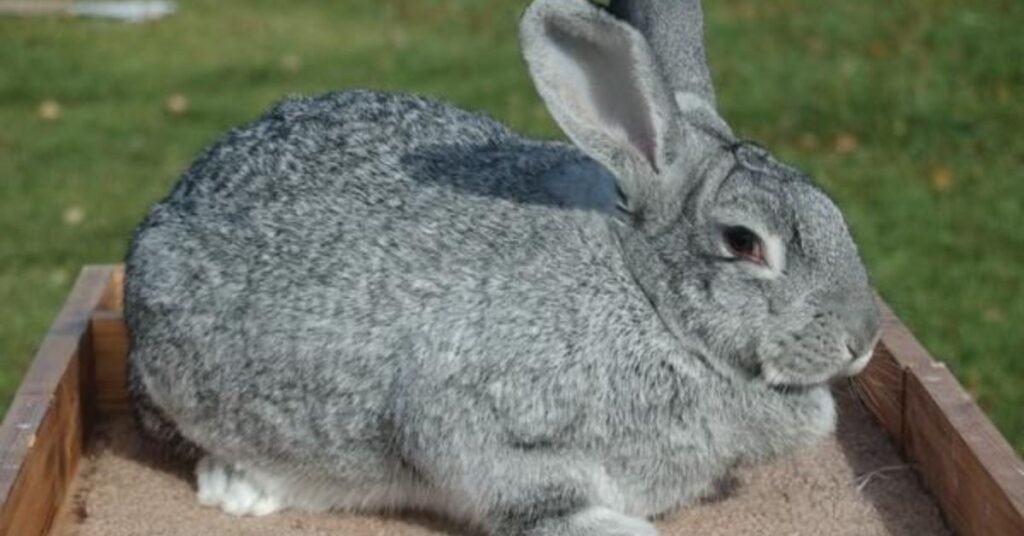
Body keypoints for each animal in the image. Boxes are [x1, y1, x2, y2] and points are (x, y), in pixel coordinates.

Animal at [124, 0, 882, 534]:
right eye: (744, 242)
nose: (866, 337)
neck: (646, 298)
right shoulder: (478, 425)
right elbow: (525, 496)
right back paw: (242, 489)